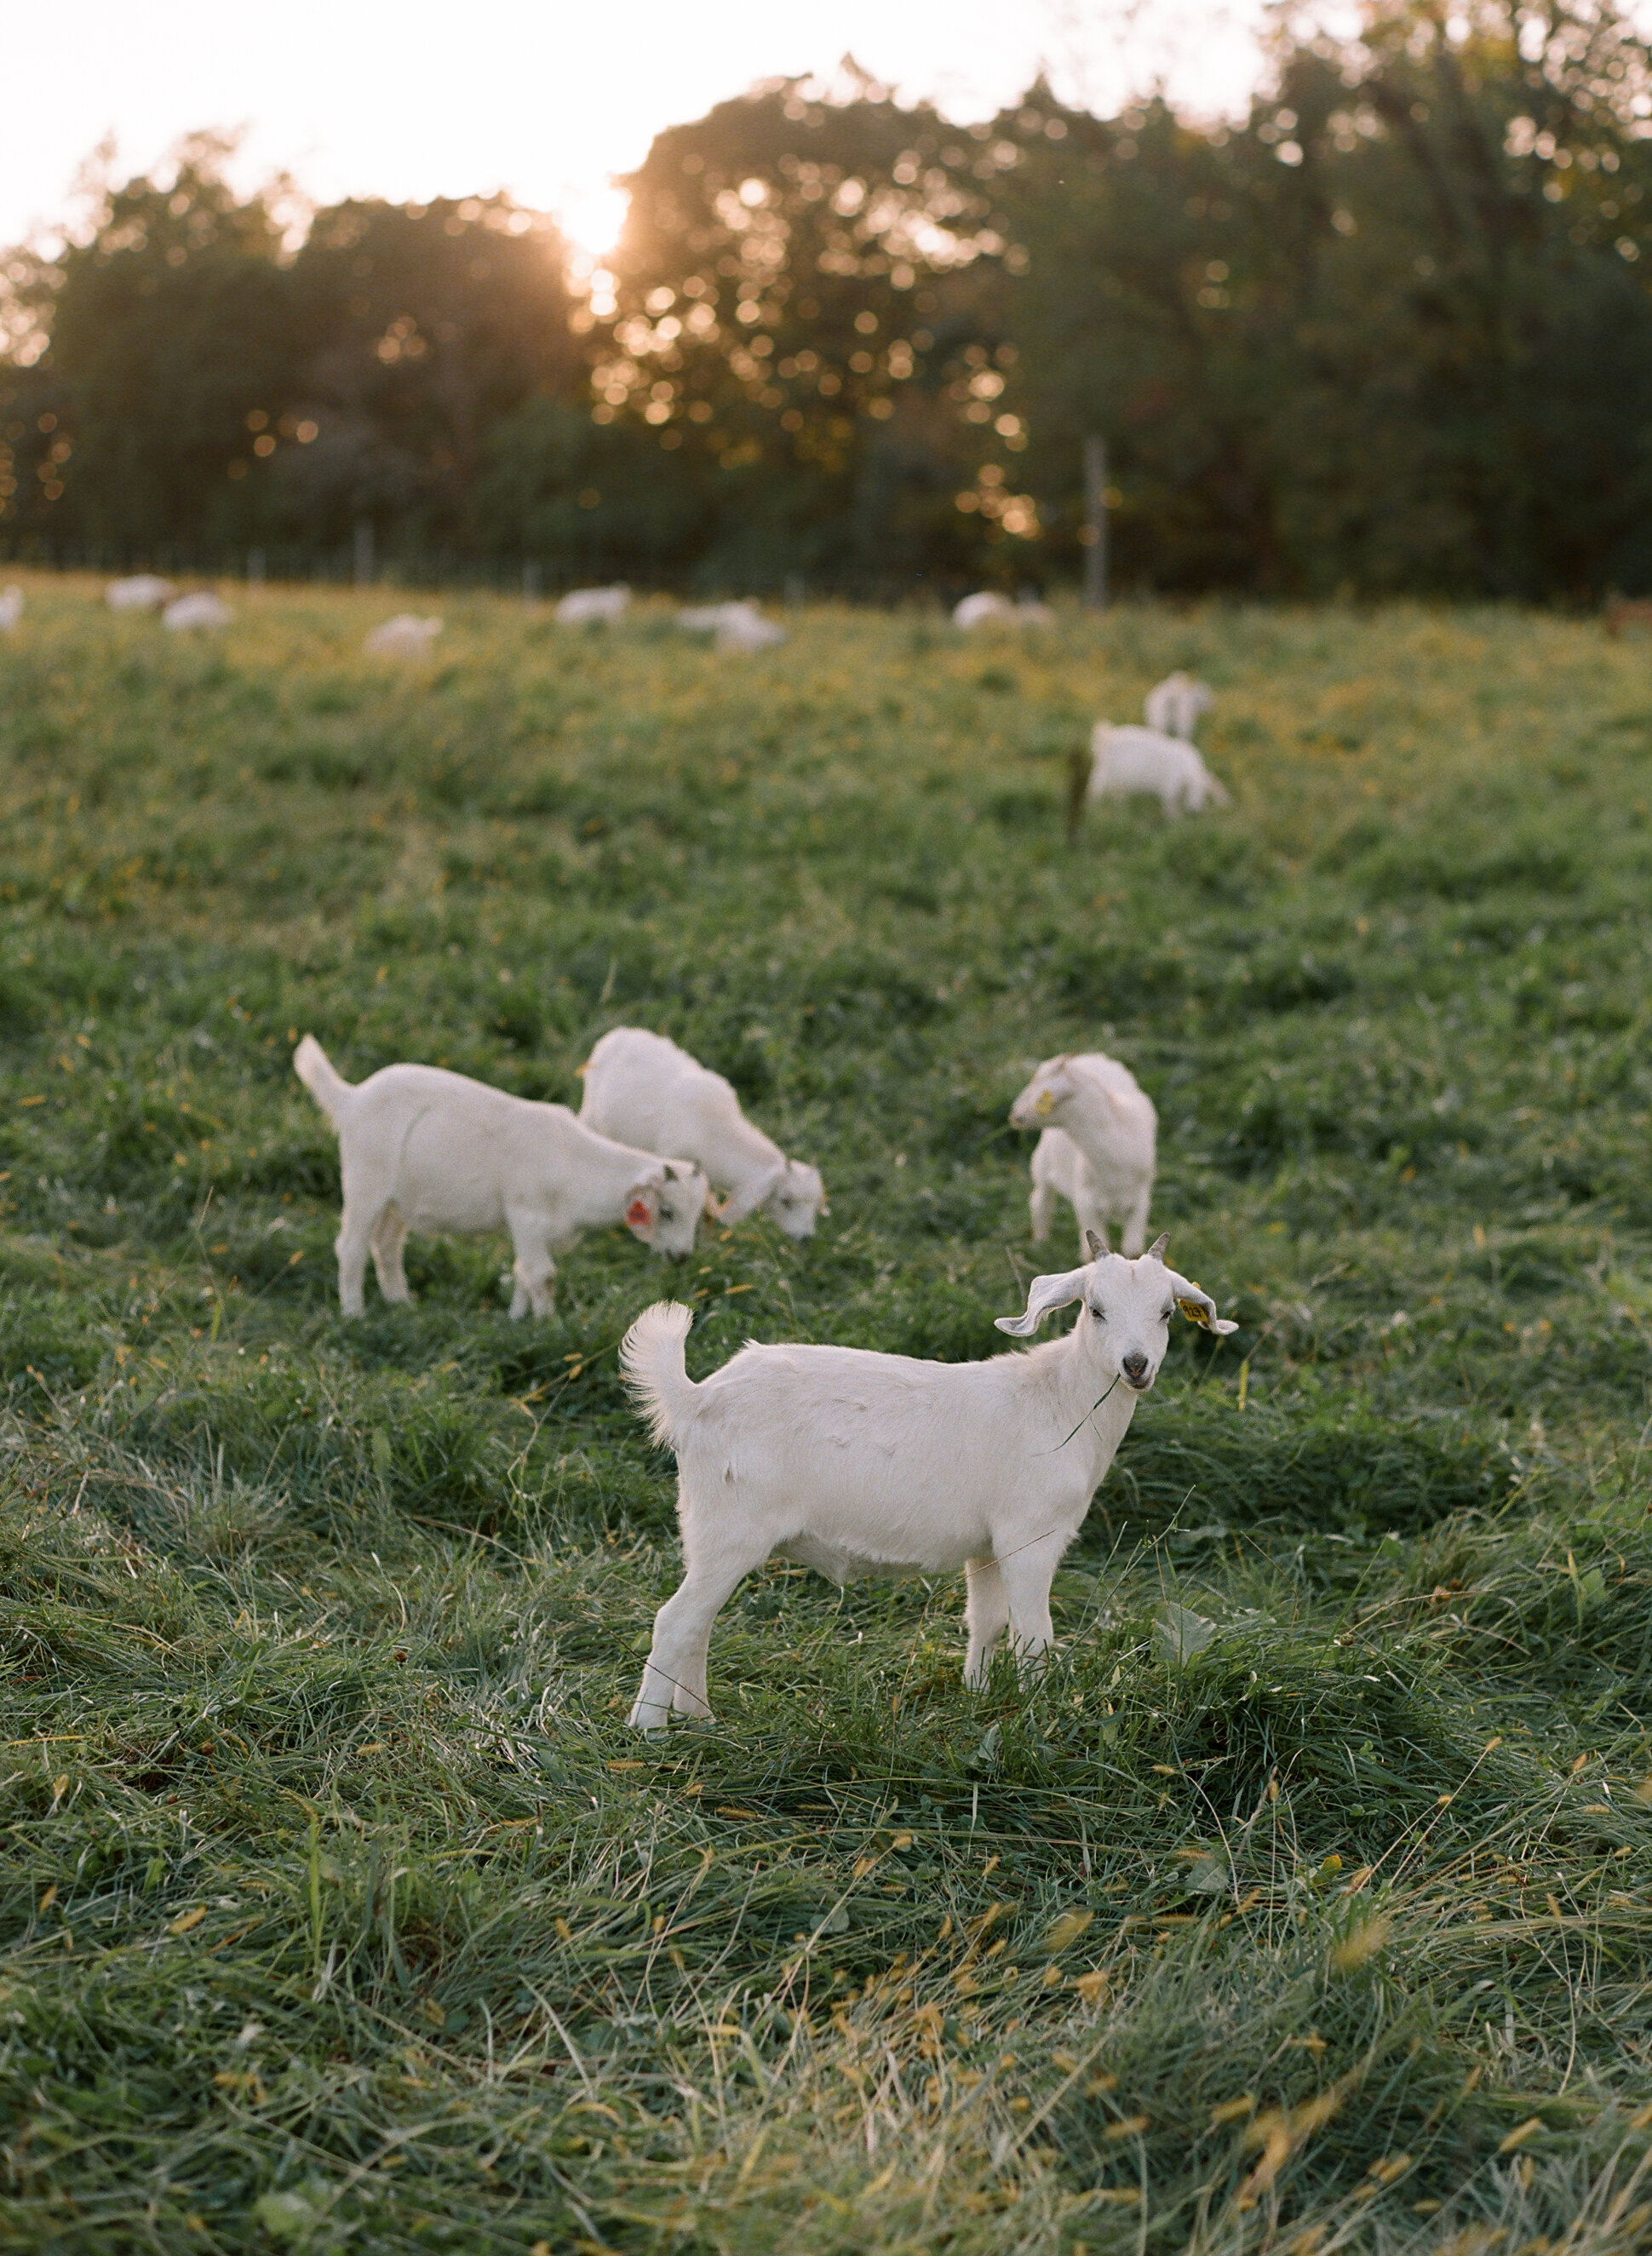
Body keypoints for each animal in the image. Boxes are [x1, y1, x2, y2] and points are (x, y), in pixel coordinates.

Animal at [293, 1033, 708, 1317]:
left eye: (697, 1216)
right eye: (667, 1211)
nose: (682, 1257)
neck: (573, 1163)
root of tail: (351, 1097)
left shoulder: (533, 1230)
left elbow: (523, 1273)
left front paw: (516, 1319)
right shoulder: (526, 1216)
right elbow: (542, 1275)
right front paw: (547, 1325)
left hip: (399, 1201)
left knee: (387, 1245)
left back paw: (402, 1304)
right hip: (366, 1182)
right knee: (351, 1246)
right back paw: (354, 1313)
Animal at [582, 1033, 830, 1245]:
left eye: (815, 1204)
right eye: (785, 1200)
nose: (806, 1240)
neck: (717, 1133)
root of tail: (614, 1035)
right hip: (590, 1112)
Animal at [627, 1236, 1236, 1723]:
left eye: (1166, 1312)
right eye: (1095, 1309)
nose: (1136, 1366)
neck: (1059, 1400)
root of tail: (695, 1399)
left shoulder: (987, 1546)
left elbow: (987, 1622)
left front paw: (977, 1696)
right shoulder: (1030, 1535)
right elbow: (1033, 1634)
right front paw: (1037, 1715)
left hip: (707, 1530)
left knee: (700, 1623)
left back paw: (701, 1718)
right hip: (733, 1525)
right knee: (676, 1621)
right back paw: (650, 1730)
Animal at [1001, 1051, 1155, 1263]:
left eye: (1038, 1091)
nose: (1014, 1115)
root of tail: (1089, 1056)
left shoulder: (1141, 1201)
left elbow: (1133, 1250)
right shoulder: (1085, 1201)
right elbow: (1093, 1253)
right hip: (1042, 1164)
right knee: (1040, 1202)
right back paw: (1041, 1243)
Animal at [1083, 717, 1227, 816]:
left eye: (1203, 793)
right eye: (1190, 789)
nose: (1195, 811)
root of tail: (1107, 738)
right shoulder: (1170, 788)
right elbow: (1171, 807)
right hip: (1105, 774)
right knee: (1096, 789)